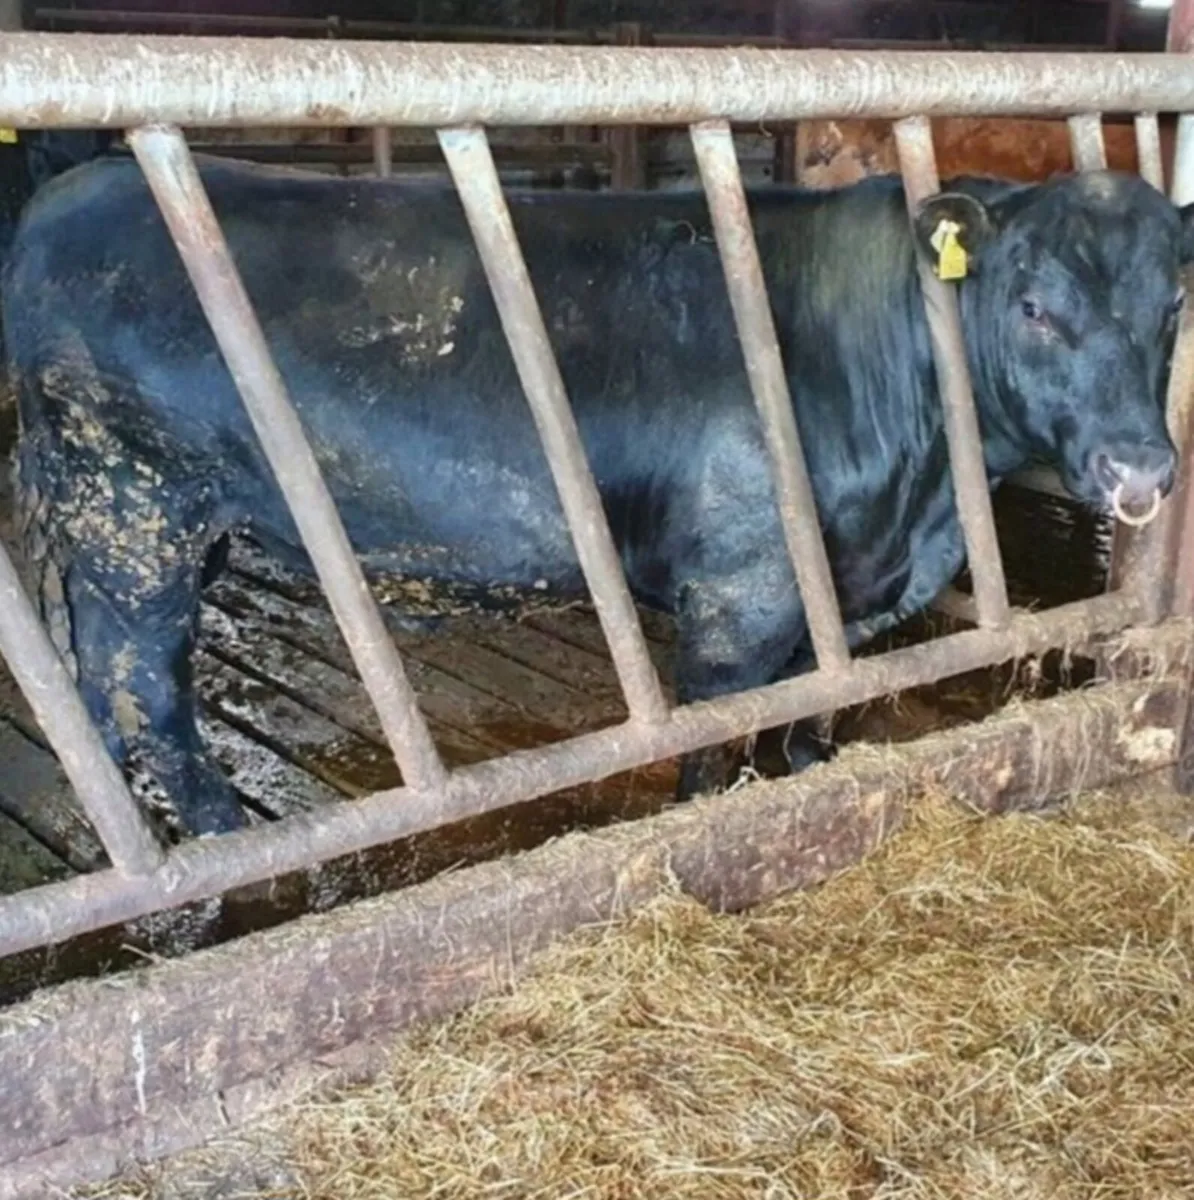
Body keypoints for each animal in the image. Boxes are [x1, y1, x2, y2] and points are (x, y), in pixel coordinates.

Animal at [2, 157, 1187, 839]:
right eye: (1032, 305)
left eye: (1174, 300)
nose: (1142, 470)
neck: (921, 501)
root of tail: (73, 192)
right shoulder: (739, 599)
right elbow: (716, 744)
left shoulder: (841, 600)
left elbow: (815, 716)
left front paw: (812, 777)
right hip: (137, 517)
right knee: (142, 688)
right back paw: (223, 838)